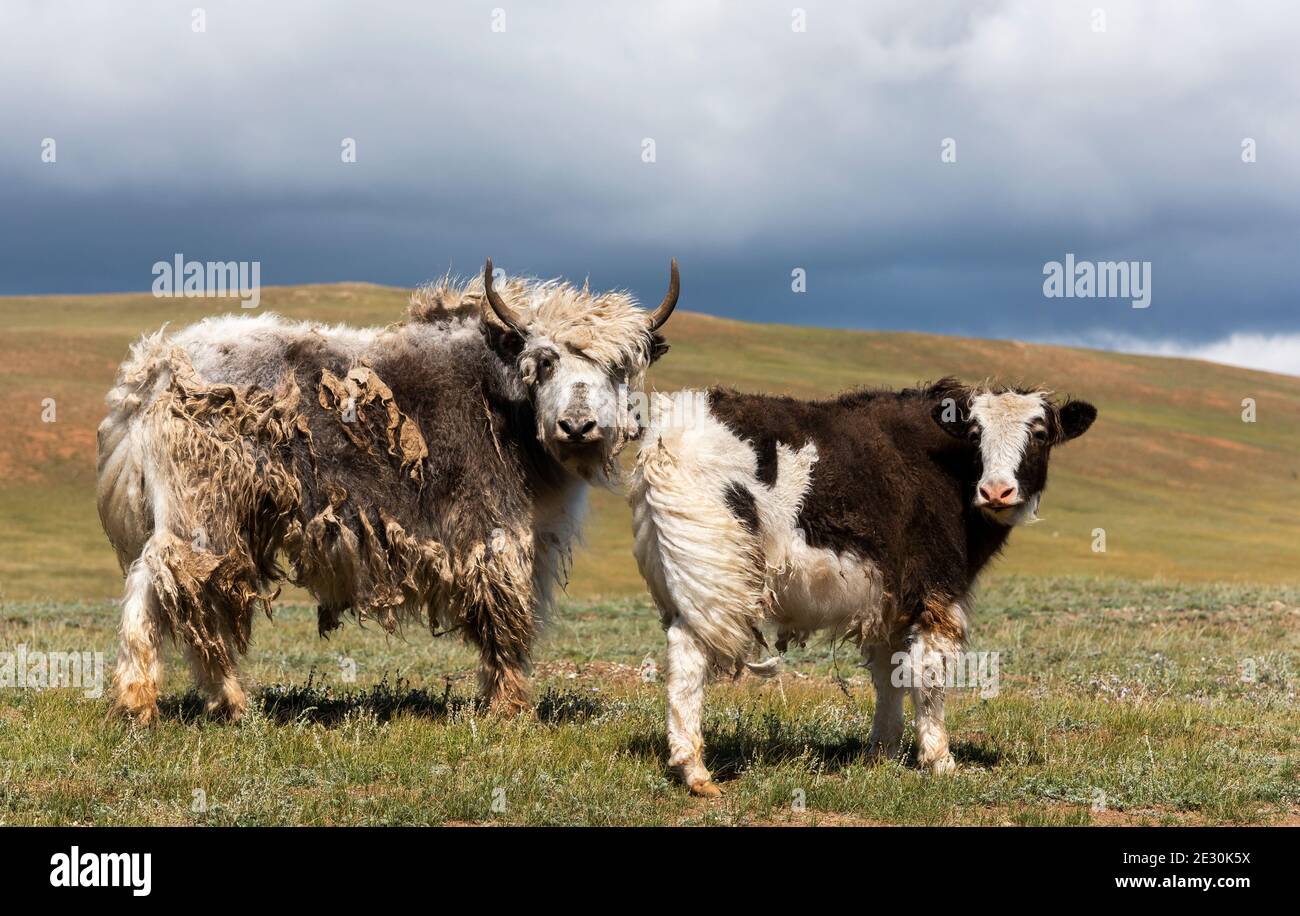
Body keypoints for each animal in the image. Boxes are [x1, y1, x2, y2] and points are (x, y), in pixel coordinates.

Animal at [96, 259, 679, 723]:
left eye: (618, 366)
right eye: (546, 361)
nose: (577, 426)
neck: (508, 404)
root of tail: (155, 368)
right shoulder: (492, 530)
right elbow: (505, 616)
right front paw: (511, 709)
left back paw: (162, 702)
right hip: (205, 514)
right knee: (179, 585)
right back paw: (210, 702)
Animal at [629, 378, 1096, 795]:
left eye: (1038, 434)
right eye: (976, 433)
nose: (996, 491)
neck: (950, 468)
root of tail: (666, 436)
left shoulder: (891, 606)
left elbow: (890, 672)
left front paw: (880, 755)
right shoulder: (936, 594)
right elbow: (928, 672)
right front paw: (940, 761)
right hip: (715, 573)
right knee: (690, 654)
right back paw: (696, 773)